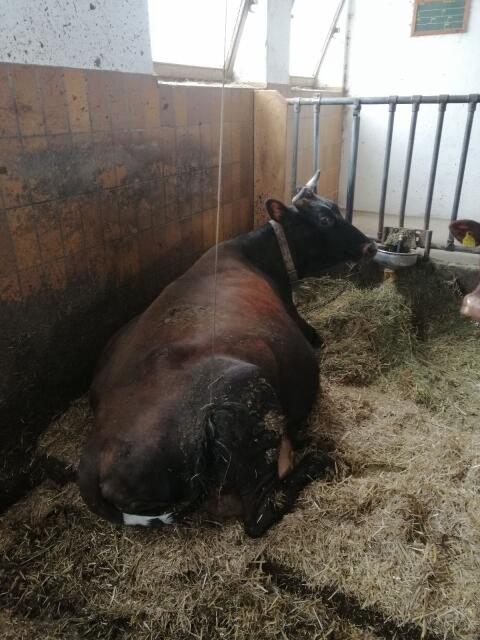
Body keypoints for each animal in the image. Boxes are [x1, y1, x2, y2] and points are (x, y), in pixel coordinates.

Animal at [78, 172, 377, 538]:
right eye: (324, 219)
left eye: (335, 208)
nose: (370, 246)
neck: (256, 256)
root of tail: (94, 450)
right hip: (246, 394)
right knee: (259, 513)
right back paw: (316, 460)